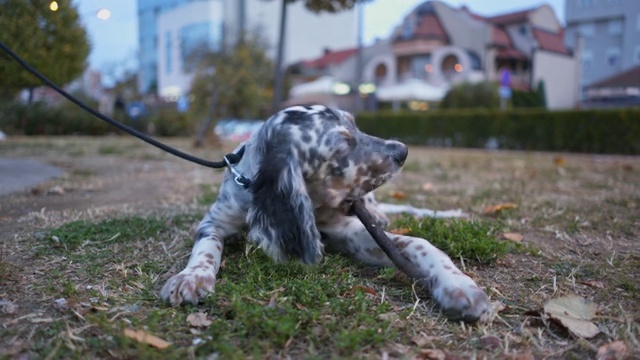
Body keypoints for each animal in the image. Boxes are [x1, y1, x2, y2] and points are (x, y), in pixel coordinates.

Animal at [161, 105, 490, 324]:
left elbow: (420, 243)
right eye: (343, 145)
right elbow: (206, 247)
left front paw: (459, 286)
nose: (403, 150)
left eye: (355, 125)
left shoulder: (349, 232)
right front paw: (191, 277)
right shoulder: (214, 221)